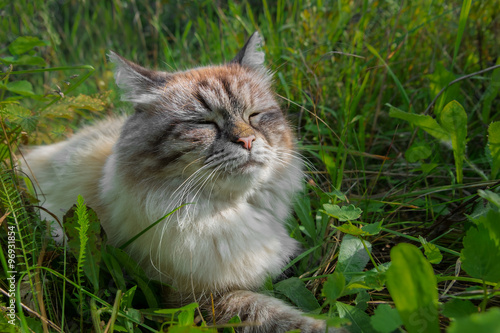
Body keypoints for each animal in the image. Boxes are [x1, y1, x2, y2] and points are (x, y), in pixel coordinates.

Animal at [22, 31, 344, 332]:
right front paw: (336, 326)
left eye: (255, 116)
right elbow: (279, 317)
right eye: (204, 123)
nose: (248, 141)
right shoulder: (197, 301)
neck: (223, 213)